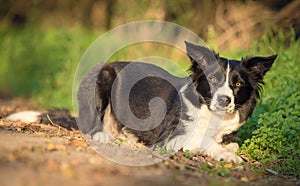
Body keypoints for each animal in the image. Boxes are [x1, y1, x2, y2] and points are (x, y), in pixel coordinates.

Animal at [77, 41, 276, 163]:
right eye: (212, 79)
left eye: (238, 84)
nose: (224, 100)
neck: (209, 113)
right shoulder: (170, 137)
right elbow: (203, 140)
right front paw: (226, 154)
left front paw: (227, 147)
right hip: (103, 76)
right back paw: (102, 135)